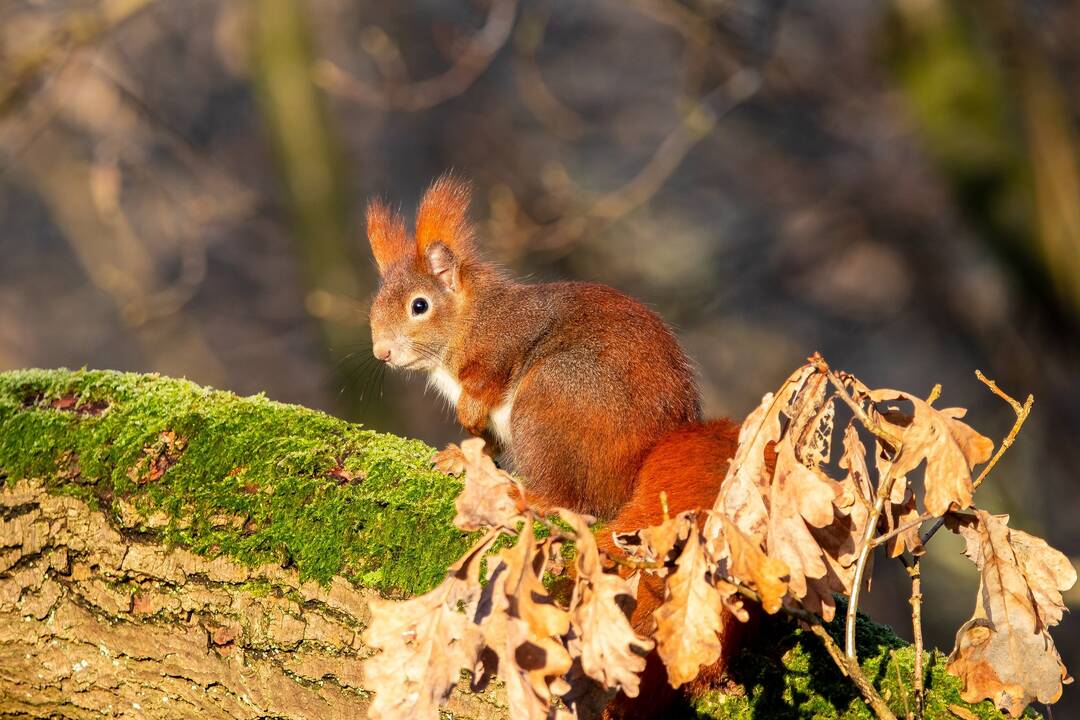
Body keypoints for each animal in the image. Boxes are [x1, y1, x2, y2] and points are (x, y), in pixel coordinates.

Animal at [367, 175, 747, 716]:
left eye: (419, 306)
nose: (381, 352)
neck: (469, 318)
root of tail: (640, 462)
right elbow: (484, 439)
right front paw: (459, 455)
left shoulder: (502, 345)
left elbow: (488, 383)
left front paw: (467, 423)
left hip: (548, 402)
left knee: (561, 499)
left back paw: (521, 493)